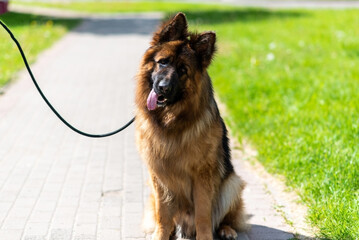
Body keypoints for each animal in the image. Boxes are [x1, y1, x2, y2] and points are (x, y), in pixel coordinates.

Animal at [135, 13, 248, 240]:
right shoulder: (158, 175)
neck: (170, 120)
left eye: (182, 70)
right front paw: (161, 234)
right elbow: (163, 214)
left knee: (225, 217)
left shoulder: (202, 175)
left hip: (232, 184)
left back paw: (226, 229)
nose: (163, 88)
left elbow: (203, 215)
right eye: (163, 63)